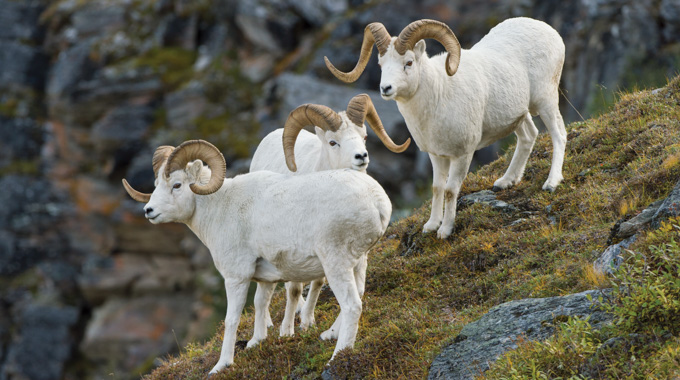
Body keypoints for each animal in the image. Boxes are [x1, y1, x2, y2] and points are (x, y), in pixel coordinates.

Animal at [119, 139, 390, 374]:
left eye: (177, 185)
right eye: (157, 184)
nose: (149, 210)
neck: (220, 207)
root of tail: (377, 202)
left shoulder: (236, 278)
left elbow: (232, 320)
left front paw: (221, 366)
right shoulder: (266, 278)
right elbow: (261, 304)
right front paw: (256, 342)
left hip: (336, 264)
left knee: (352, 305)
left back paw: (337, 358)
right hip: (358, 261)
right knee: (358, 295)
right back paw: (329, 335)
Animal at [250, 93, 410, 340]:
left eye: (364, 136)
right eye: (333, 142)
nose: (361, 156)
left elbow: (317, 283)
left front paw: (307, 322)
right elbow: (294, 289)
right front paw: (287, 332)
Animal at [326, 17, 568, 239]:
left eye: (409, 62)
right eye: (380, 64)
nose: (386, 88)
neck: (439, 94)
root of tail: (550, 31)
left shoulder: (462, 154)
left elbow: (451, 191)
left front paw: (445, 231)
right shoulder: (436, 155)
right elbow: (437, 188)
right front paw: (431, 226)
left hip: (545, 100)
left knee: (559, 135)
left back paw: (551, 183)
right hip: (519, 115)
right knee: (529, 136)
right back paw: (505, 182)